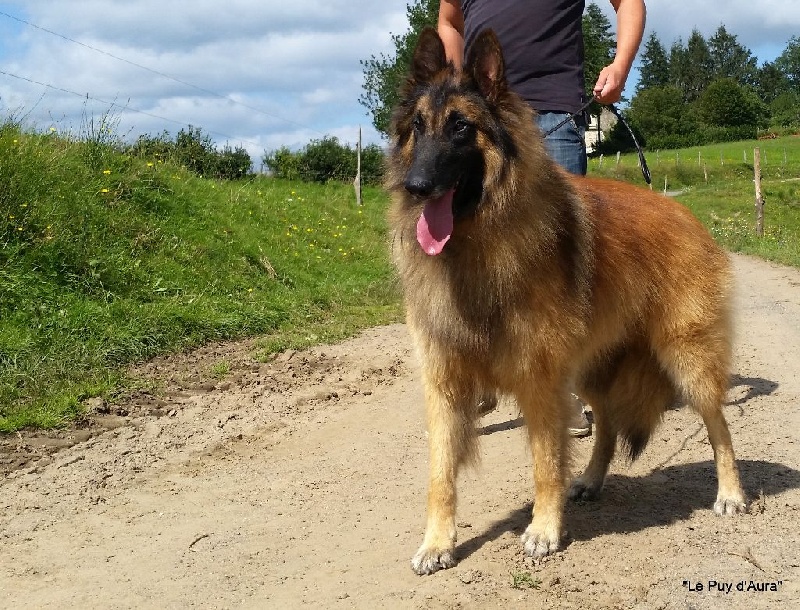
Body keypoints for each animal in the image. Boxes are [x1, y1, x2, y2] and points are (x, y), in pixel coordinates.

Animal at [385, 27, 747, 576]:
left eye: (461, 128)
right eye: (418, 128)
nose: (416, 186)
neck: (477, 242)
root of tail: (682, 211)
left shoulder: (540, 382)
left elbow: (545, 463)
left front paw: (543, 530)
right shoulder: (445, 381)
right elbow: (440, 472)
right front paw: (437, 542)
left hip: (687, 359)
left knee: (718, 427)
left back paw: (730, 494)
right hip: (594, 370)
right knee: (608, 427)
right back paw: (593, 481)